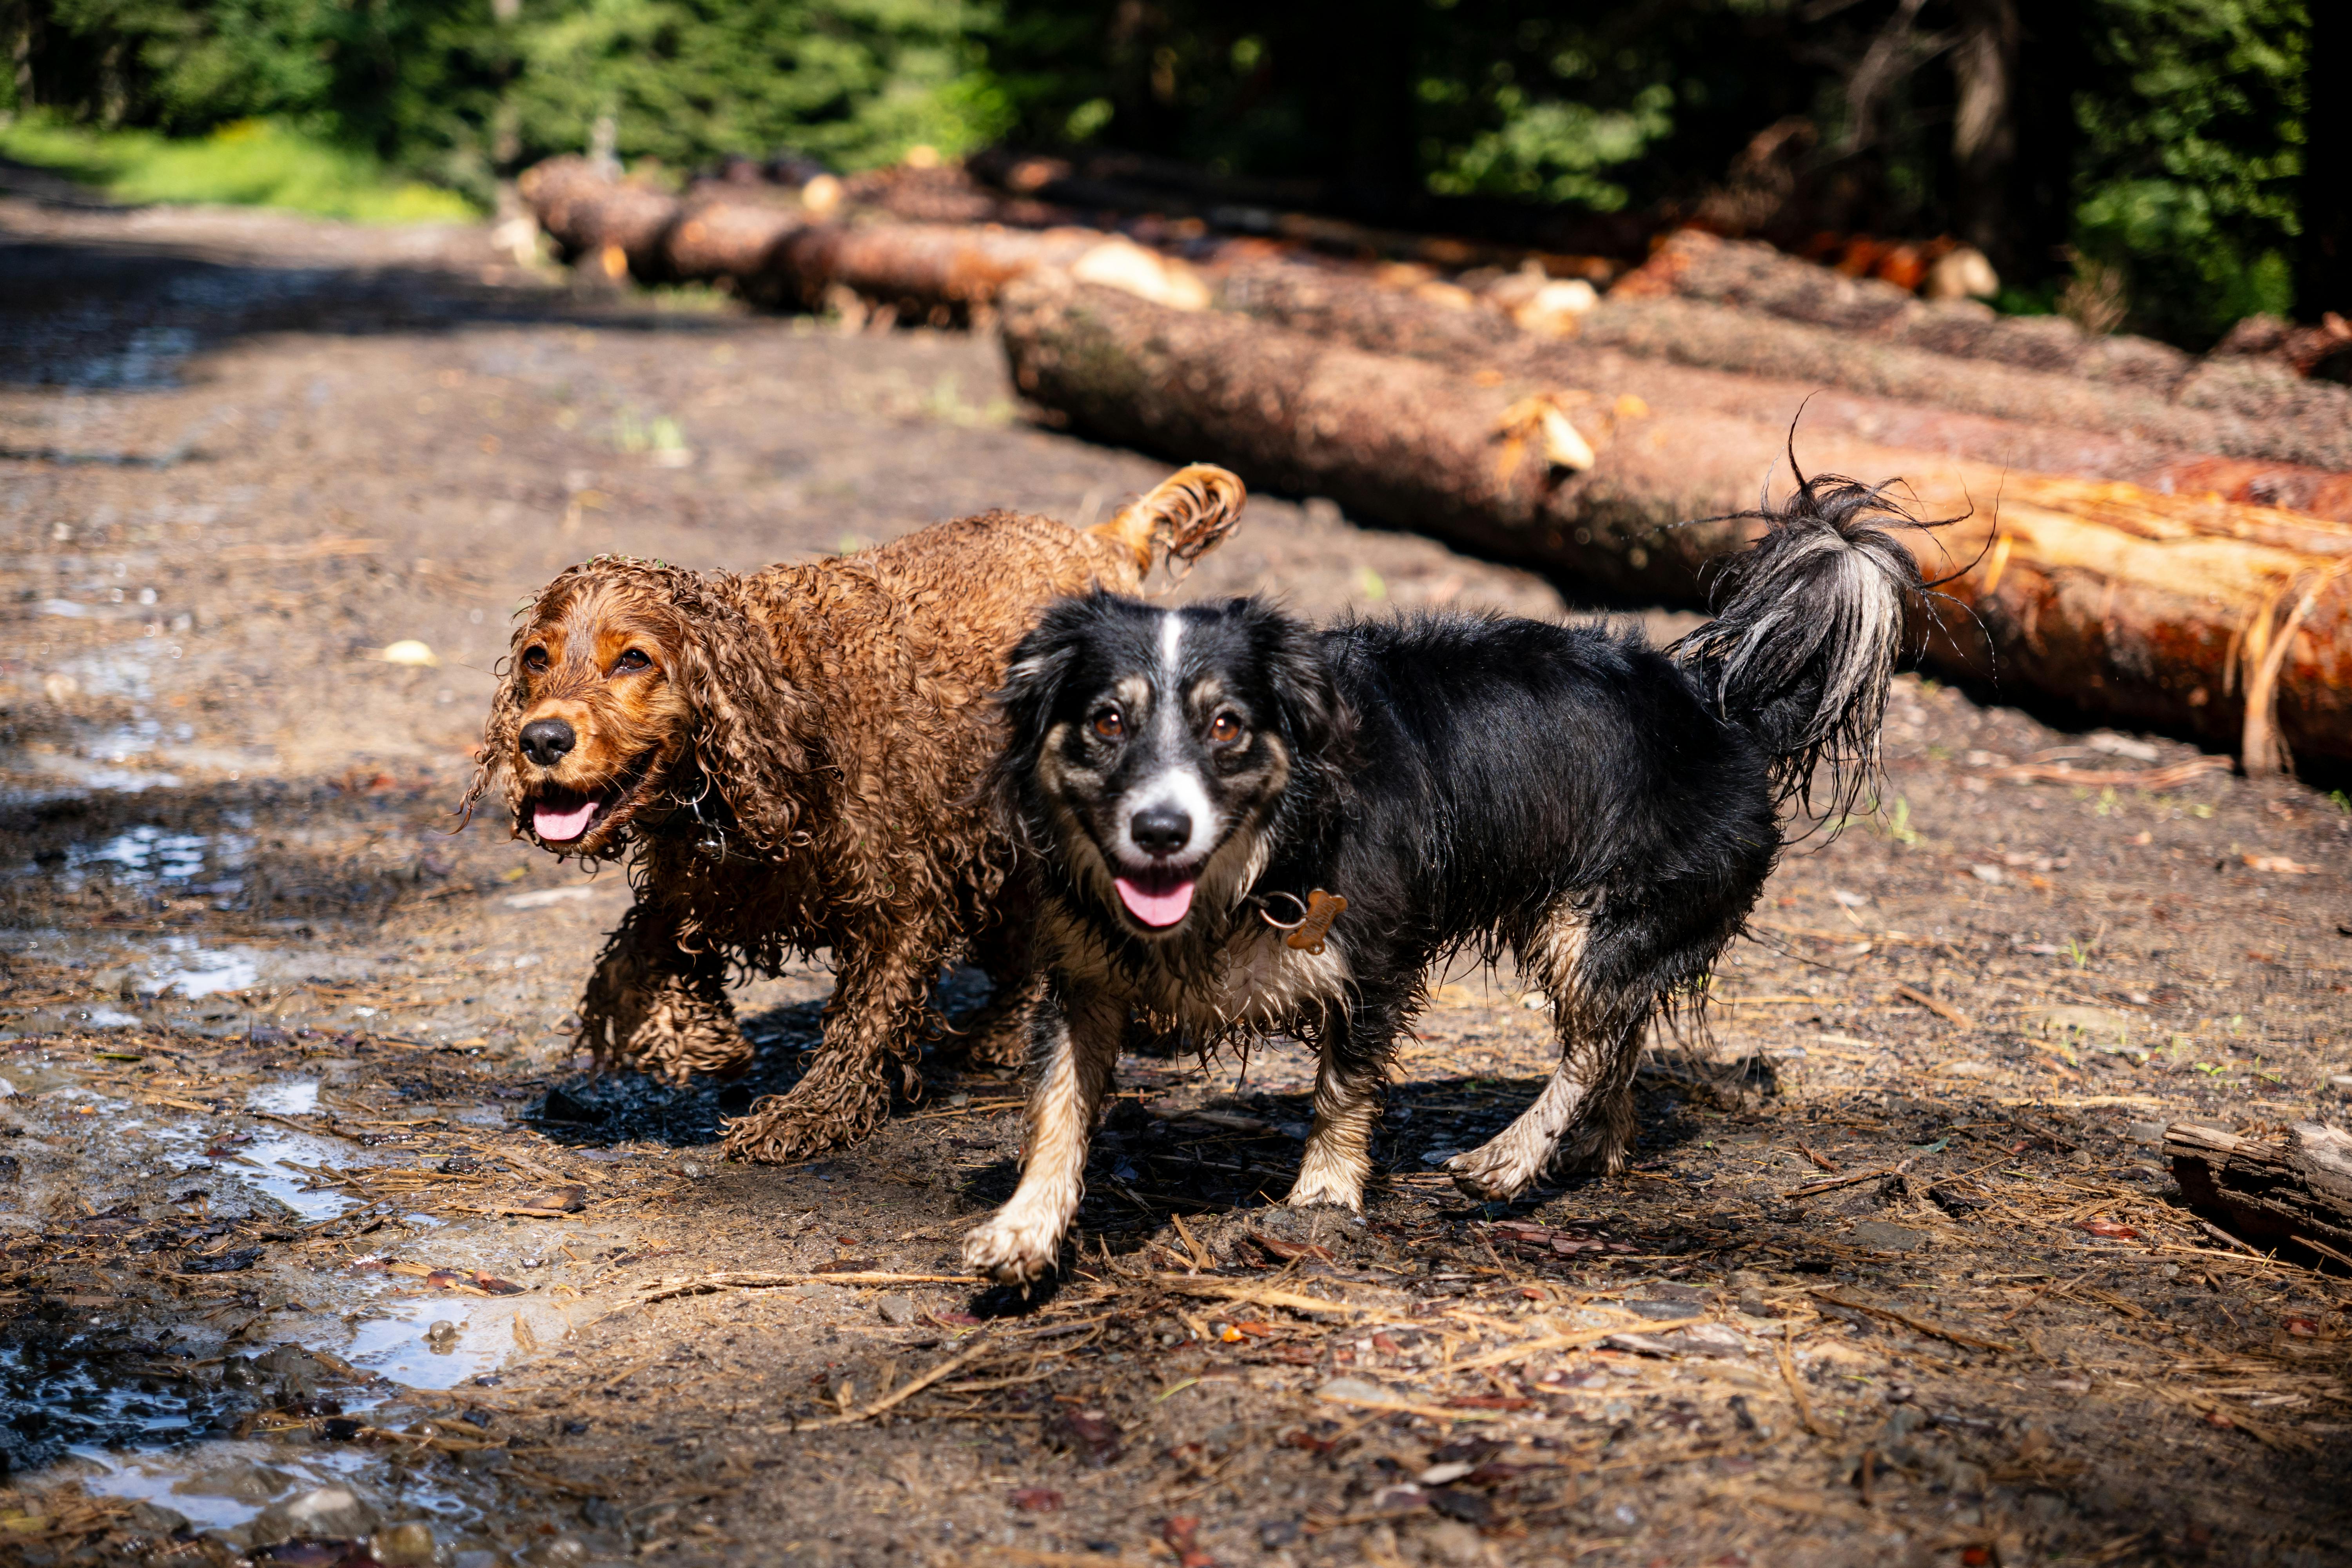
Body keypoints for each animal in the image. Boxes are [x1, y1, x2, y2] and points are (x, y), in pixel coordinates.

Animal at [447, 465, 1242, 1166]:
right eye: (537, 658)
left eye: (634, 660)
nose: (540, 740)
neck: (779, 710)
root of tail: (1096, 539)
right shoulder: (699, 883)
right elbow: (632, 963)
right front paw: (699, 1040)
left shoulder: (902, 895)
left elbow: (865, 1019)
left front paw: (808, 1114)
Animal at [964, 472, 1919, 1279]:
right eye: (1107, 721)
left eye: (1228, 725)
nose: (1160, 830)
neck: (1251, 864)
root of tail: (1719, 707)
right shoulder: (1084, 978)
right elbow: (1057, 1105)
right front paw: (1026, 1226)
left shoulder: (1373, 958)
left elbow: (1342, 1090)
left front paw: (1321, 1197)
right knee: (1624, 1029)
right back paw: (1592, 1146)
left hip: (1589, 921)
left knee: (1596, 1037)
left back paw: (1510, 1157)